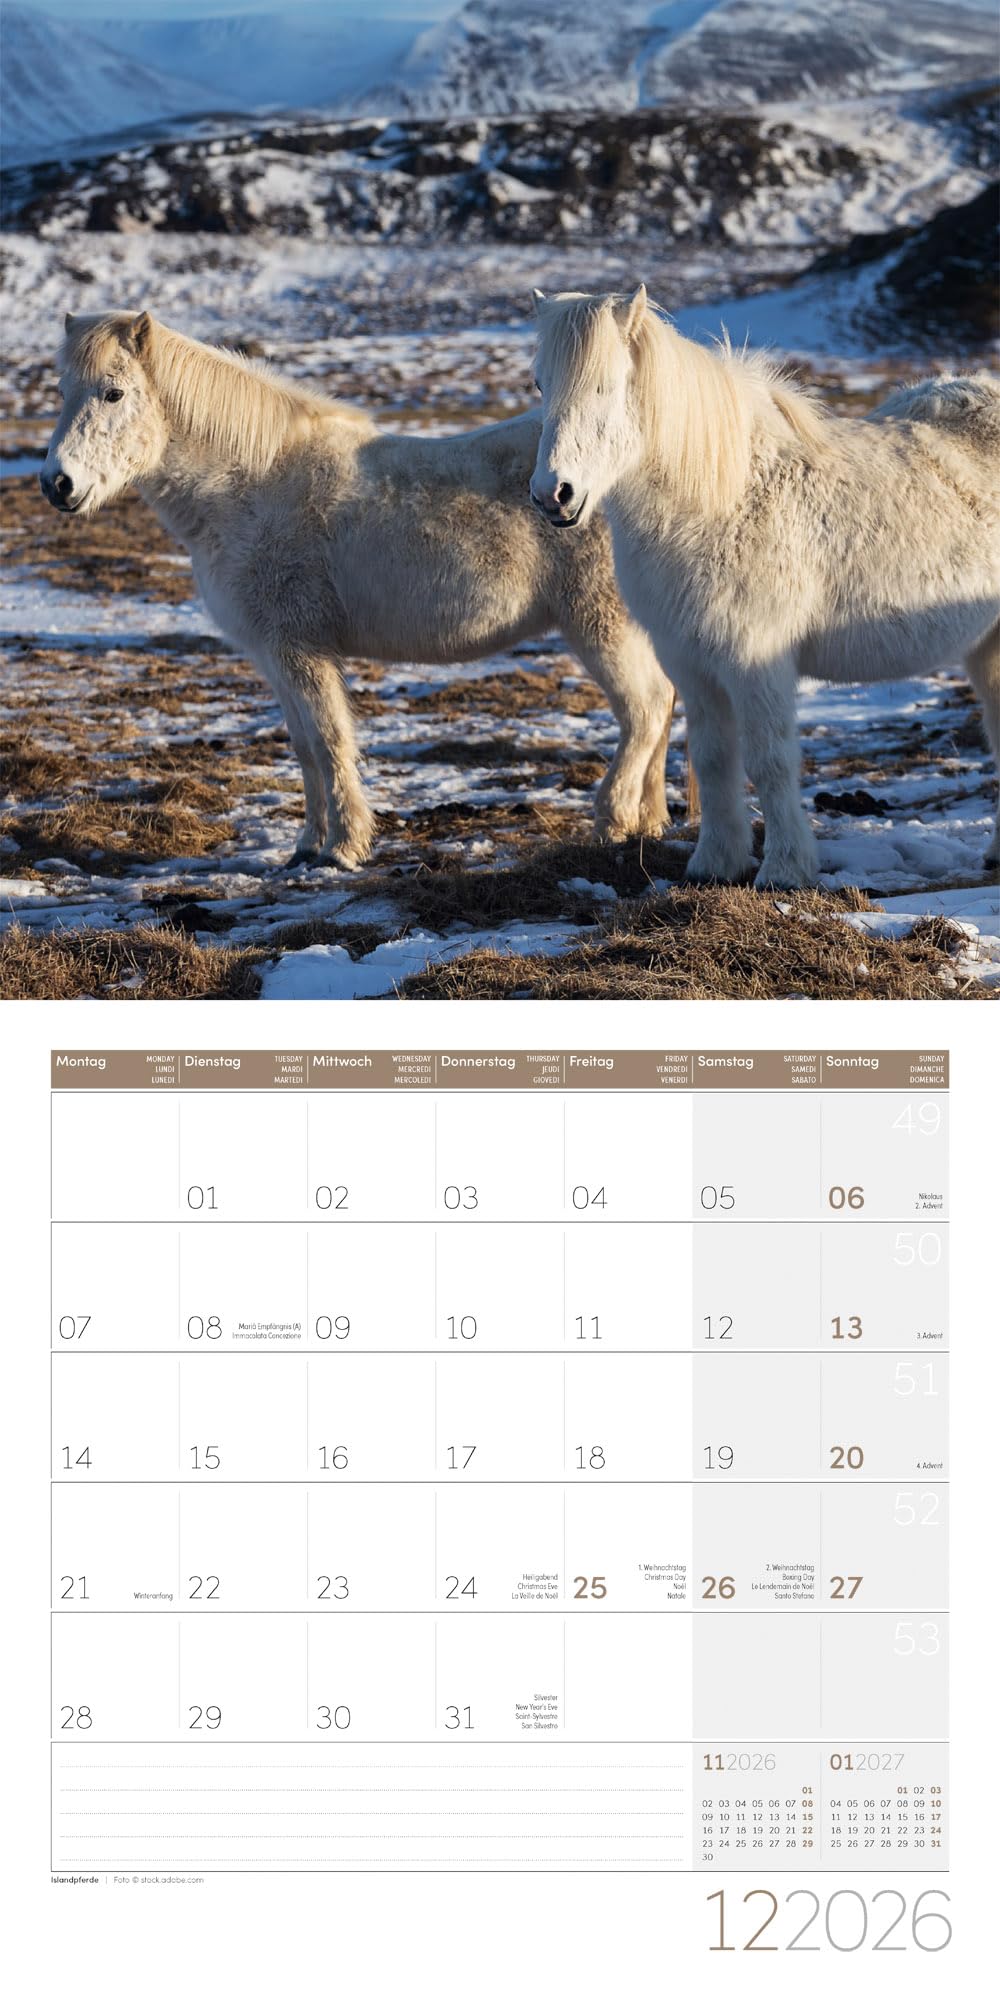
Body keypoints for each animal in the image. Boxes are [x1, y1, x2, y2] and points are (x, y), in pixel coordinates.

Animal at [39, 308, 686, 870]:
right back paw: (650, 822)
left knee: (646, 709)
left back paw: (611, 821)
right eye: (63, 391)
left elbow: (329, 742)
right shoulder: (274, 654)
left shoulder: (303, 651)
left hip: (600, 623)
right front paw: (307, 846)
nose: (56, 484)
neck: (248, 488)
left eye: (113, 393)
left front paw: (344, 848)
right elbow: (304, 749)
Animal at [529, 286, 1000, 890]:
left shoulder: (755, 660)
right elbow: (713, 759)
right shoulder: (691, 662)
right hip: (987, 647)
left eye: (605, 385)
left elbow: (769, 761)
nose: (553, 495)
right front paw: (714, 863)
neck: (718, 501)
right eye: (540, 385)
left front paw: (784, 870)